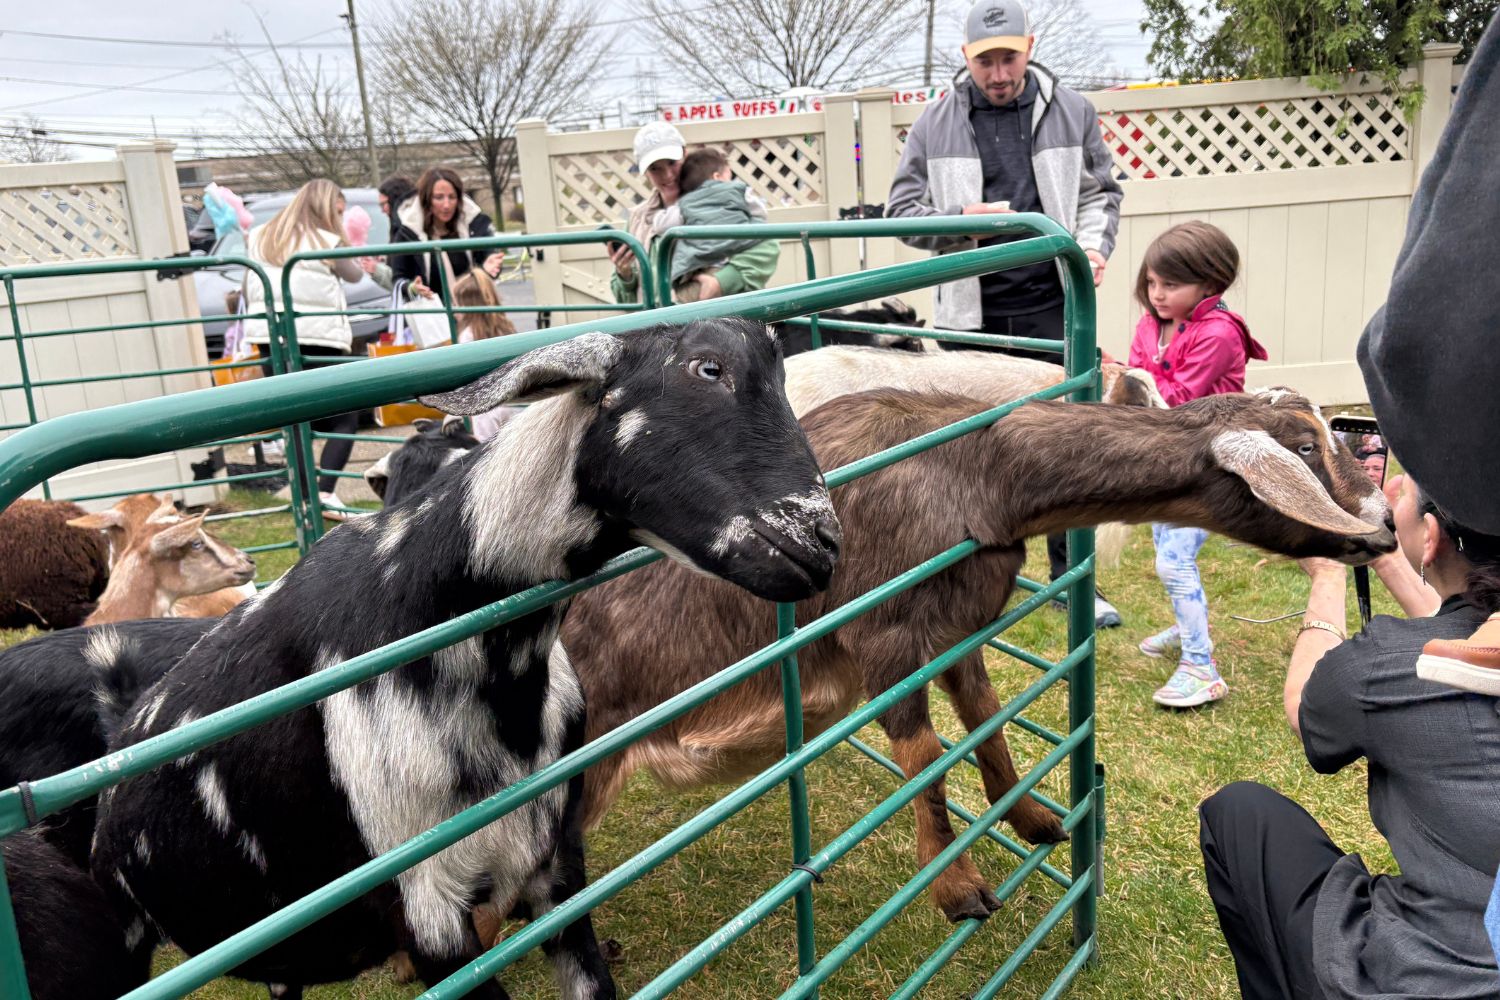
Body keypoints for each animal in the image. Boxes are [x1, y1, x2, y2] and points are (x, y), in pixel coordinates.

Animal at [558, 387, 1395, 924]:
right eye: (1306, 447)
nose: (1387, 524)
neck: (976, 467)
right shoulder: (885, 636)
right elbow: (926, 754)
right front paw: (958, 888)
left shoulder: (958, 628)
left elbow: (988, 719)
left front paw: (1032, 818)